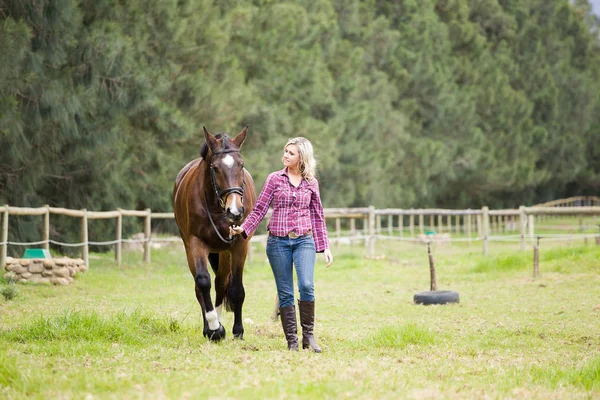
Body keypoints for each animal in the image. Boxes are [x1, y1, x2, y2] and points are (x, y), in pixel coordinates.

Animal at [175, 125, 256, 340]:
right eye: (216, 168)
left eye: (241, 165)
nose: (235, 211)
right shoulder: (196, 242)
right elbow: (203, 282)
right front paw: (214, 328)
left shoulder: (239, 245)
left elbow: (236, 289)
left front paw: (238, 331)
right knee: (201, 286)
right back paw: (210, 327)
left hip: (223, 253)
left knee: (221, 283)